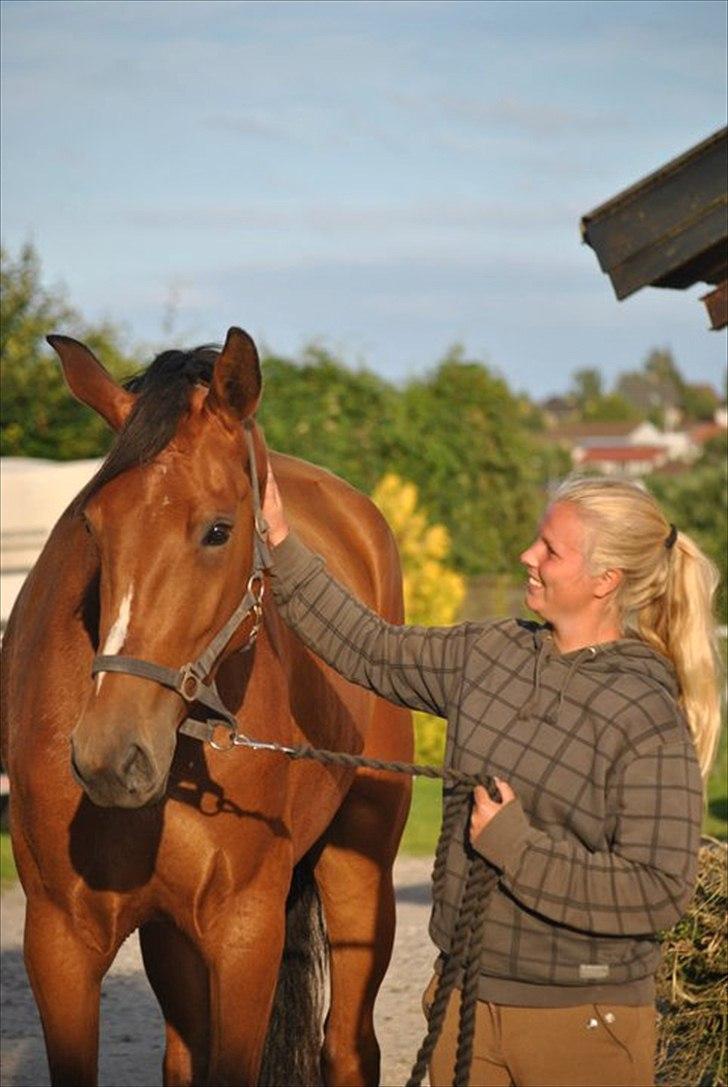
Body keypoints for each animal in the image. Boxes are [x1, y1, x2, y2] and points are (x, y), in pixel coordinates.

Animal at [0, 326, 412, 1082]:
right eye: (93, 526)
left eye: (219, 530)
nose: (110, 754)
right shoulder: (59, 940)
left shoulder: (244, 930)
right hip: (173, 941)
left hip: (360, 871)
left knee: (349, 1046)